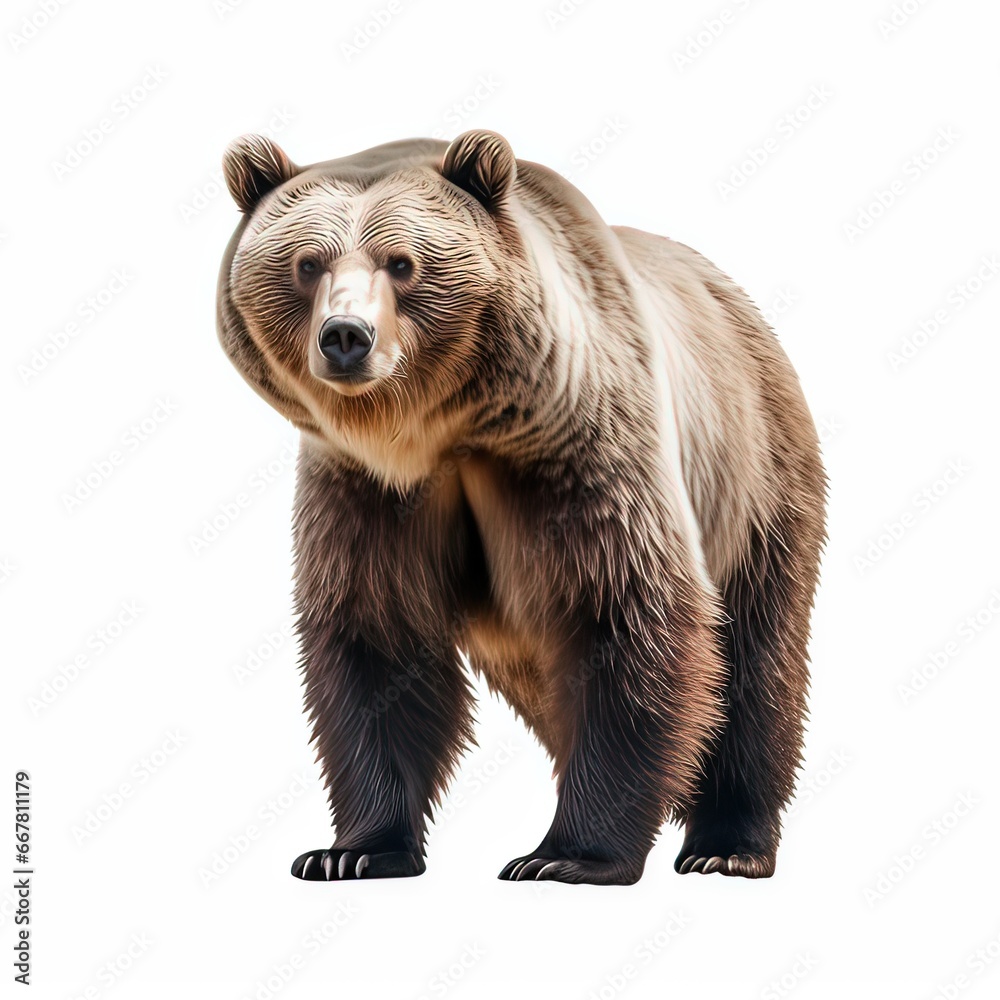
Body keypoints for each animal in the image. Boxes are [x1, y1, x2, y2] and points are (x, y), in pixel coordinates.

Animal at [216, 129, 826, 885]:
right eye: (307, 263)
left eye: (402, 262)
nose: (346, 336)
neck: (436, 435)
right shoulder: (368, 492)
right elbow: (376, 638)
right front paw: (353, 849)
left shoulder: (575, 453)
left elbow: (624, 615)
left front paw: (566, 855)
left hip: (755, 477)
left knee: (753, 666)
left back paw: (727, 842)